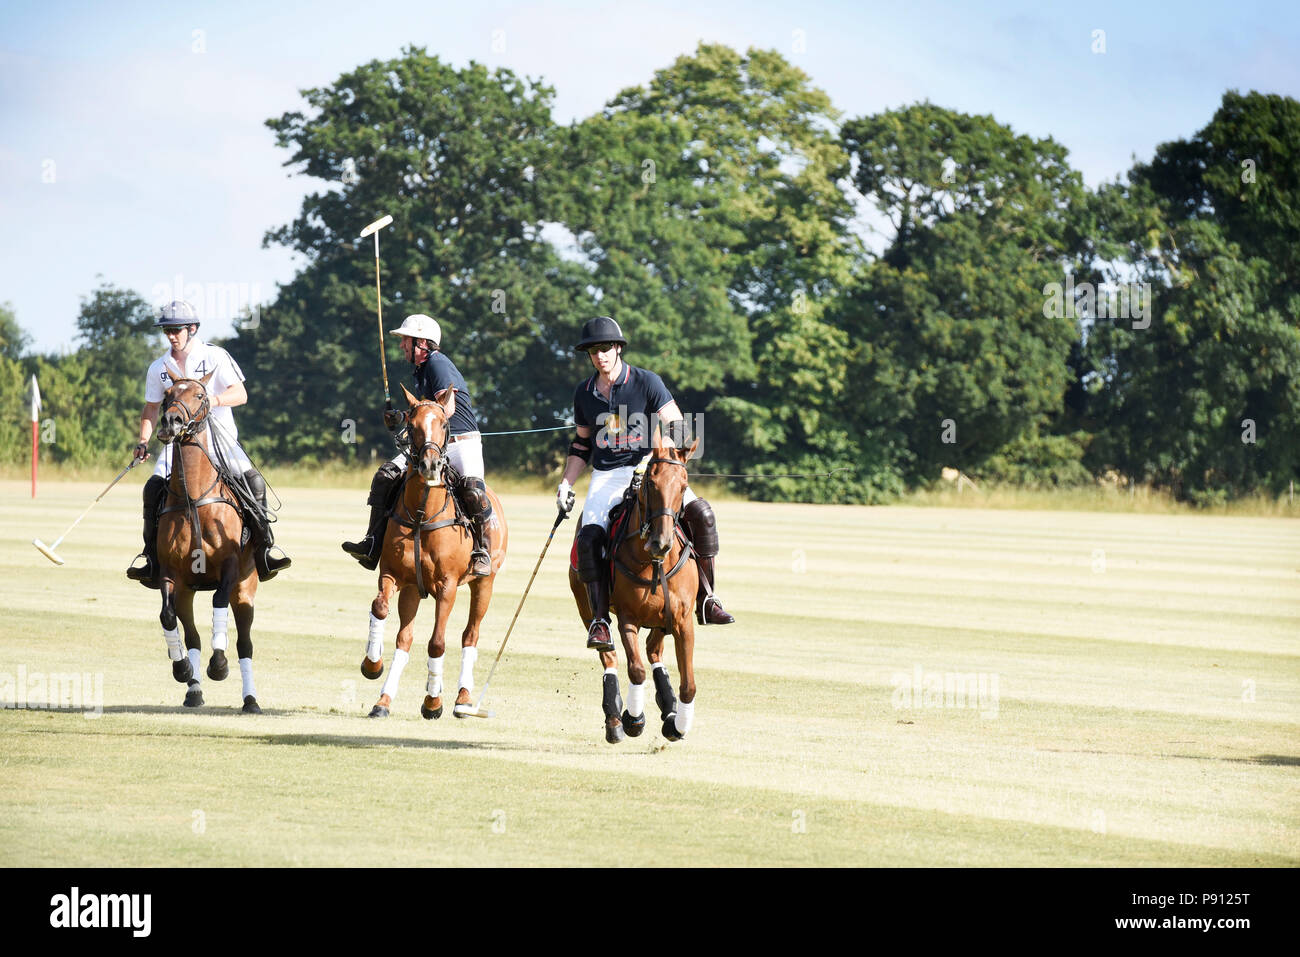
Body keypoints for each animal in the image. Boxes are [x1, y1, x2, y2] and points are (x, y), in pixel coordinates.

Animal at [153, 374, 260, 712]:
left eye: (200, 395)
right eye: (167, 393)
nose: (171, 421)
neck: (193, 496)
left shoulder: (230, 567)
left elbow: (218, 601)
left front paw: (219, 665)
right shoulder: (169, 571)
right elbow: (167, 615)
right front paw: (182, 668)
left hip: (246, 589)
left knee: (244, 643)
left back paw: (251, 699)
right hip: (187, 591)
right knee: (193, 637)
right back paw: (193, 690)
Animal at [366, 384, 512, 722]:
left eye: (445, 424)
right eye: (412, 424)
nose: (431, 466)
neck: (422, 515)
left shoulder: (447, 587)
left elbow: (436, 643)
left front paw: (433, 702)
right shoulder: (393, 575)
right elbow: (381, 609)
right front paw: (372, 665)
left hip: (485, 583)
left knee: (470, 635)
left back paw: (462, 699)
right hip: (412, 590)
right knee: (404, 638)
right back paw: (383, 700)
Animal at [564, 429, 696, 743]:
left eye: (683, 486)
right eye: (650, 483)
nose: (661, 543)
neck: (654, 562)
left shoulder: (683, 620)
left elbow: (689, 684)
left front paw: (678, 725)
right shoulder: (628, 617)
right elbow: (636, 670)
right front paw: (634, 720)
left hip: (663, 619)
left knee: (654, 651)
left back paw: (669, 709)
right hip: (586, 607)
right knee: (609, 655)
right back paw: (614, 720)